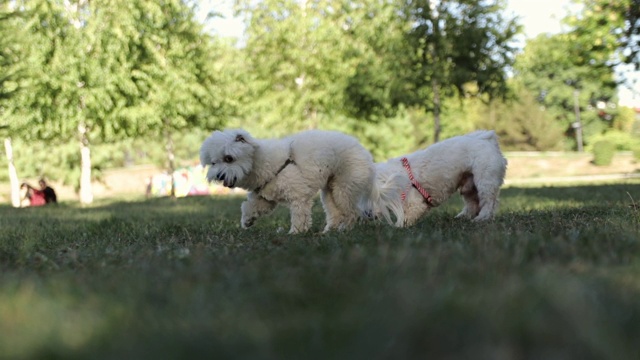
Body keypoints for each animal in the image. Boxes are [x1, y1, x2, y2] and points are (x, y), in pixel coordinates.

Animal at [200, 129, 380, 233]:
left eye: (229, 158)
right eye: (213, 163)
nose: (219, 176)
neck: (261, 161)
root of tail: (366, 154)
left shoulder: (298, 196)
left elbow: (299, 215)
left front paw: (296, 233)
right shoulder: (264, 198)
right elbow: (250, 206)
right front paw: (247, 220)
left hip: (344, 188)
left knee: (353, 212)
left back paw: (344, 229)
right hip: (330, 191)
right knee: (335, 213)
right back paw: (329, 231)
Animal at [368, 131, 508, 226]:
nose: (368, 216)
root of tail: (487, 140)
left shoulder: (415, 204)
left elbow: (407, 218)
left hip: (485, 181)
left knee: (489, 202)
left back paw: (482, 218)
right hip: (469, 186)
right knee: (472, 204)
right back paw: (462, 217)